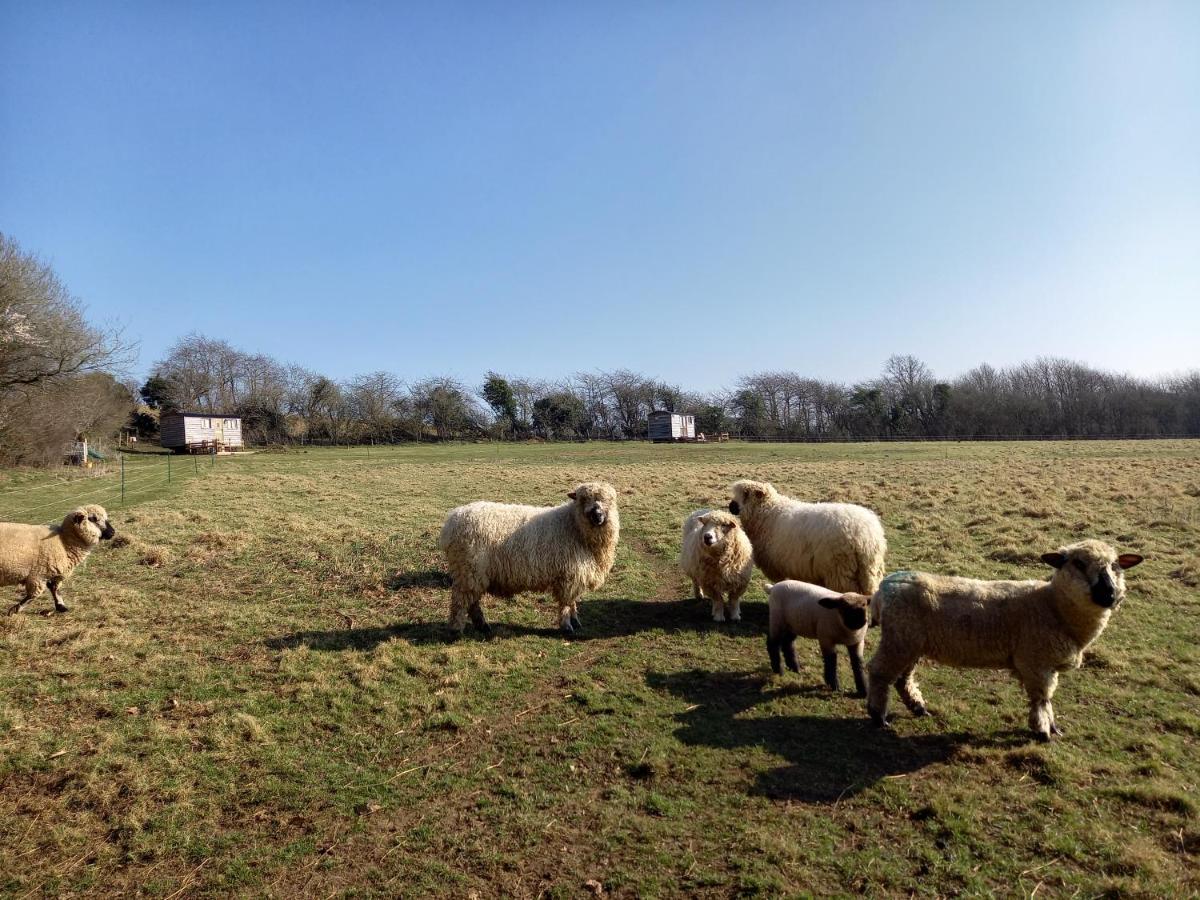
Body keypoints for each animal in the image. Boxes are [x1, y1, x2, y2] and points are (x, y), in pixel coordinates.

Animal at [439, 482, 619, 638]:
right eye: (582, 499)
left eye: (609, 500)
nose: (597, 515)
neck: (573, 525)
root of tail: (452, 520)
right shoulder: (568, 575)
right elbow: (565, 603)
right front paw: (567, 626)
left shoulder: (575, 575)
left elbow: (572, 601)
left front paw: (575, 621)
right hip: (469, 568)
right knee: (460, 601)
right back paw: (456, 630)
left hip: (473, 573)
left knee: (472, 601)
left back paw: (482, 626)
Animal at [724, 480, 888, 600]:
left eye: (746, 494)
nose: (731, 506)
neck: (768, 511)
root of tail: (866, 536)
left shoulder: (780, 564)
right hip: (870, 571)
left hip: (840, 570)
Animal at [864, 540, 1142, 744]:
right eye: (1079, 563)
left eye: (1116, 566)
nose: (1109, 594)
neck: (1054, 606)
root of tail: (884, 587)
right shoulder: (1035, 662)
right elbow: (1042, 698)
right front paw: (1043, 730)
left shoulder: (1045, 665)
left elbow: (1047, 699)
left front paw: (1052, 725)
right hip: (899, 639)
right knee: (879, 672)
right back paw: (878, 716)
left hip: (912, 642)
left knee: (902, 678)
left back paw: (918, 708)